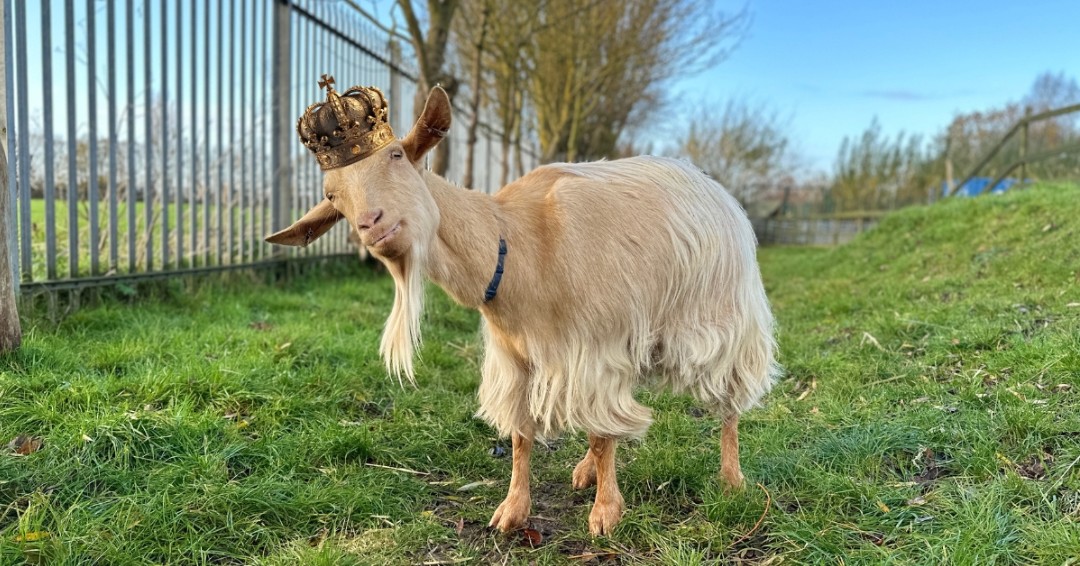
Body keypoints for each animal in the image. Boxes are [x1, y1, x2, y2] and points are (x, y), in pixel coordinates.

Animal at [267, 81, 780, 536]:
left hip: (726, 322)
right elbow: (520, 437)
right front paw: (512, 511)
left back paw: (732, 480)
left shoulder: (596, 349)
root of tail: (712, 186)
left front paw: (605, 513)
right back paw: (585, 470)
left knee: (730, 402)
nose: (372, 225)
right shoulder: (517, 359)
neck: (516, 244)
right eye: (332, 194)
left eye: (396, 156)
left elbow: (603, 434)